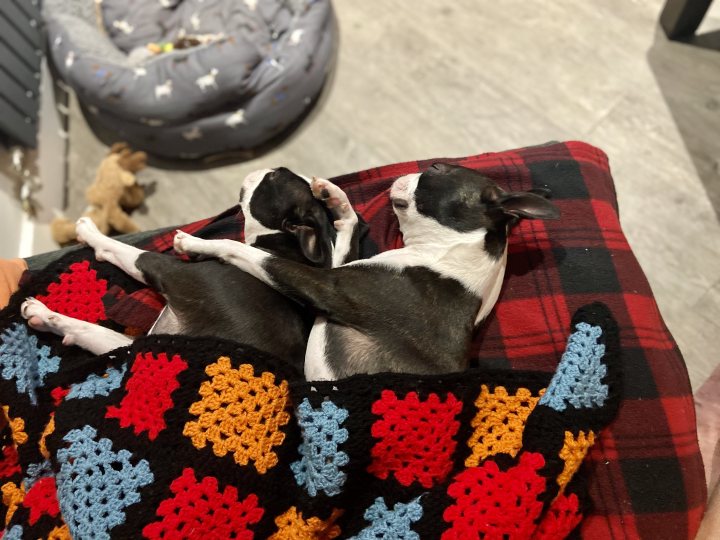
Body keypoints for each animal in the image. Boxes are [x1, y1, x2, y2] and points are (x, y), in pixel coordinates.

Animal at [19, 167, 368, 374]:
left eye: (274, 179)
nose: (266, 168)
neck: (276, 249)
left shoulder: (169, 272)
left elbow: (128, 252)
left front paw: (91, 233)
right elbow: (92, 333)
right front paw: (47, 317)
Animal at [172, 163, 560, 380]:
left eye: (435, 170)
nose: (414, 169)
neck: (448, 254)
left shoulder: (326, 287)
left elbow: (254, 255)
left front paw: (195, 242)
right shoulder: (337, 269)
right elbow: (347, 230)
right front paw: (335, 198)